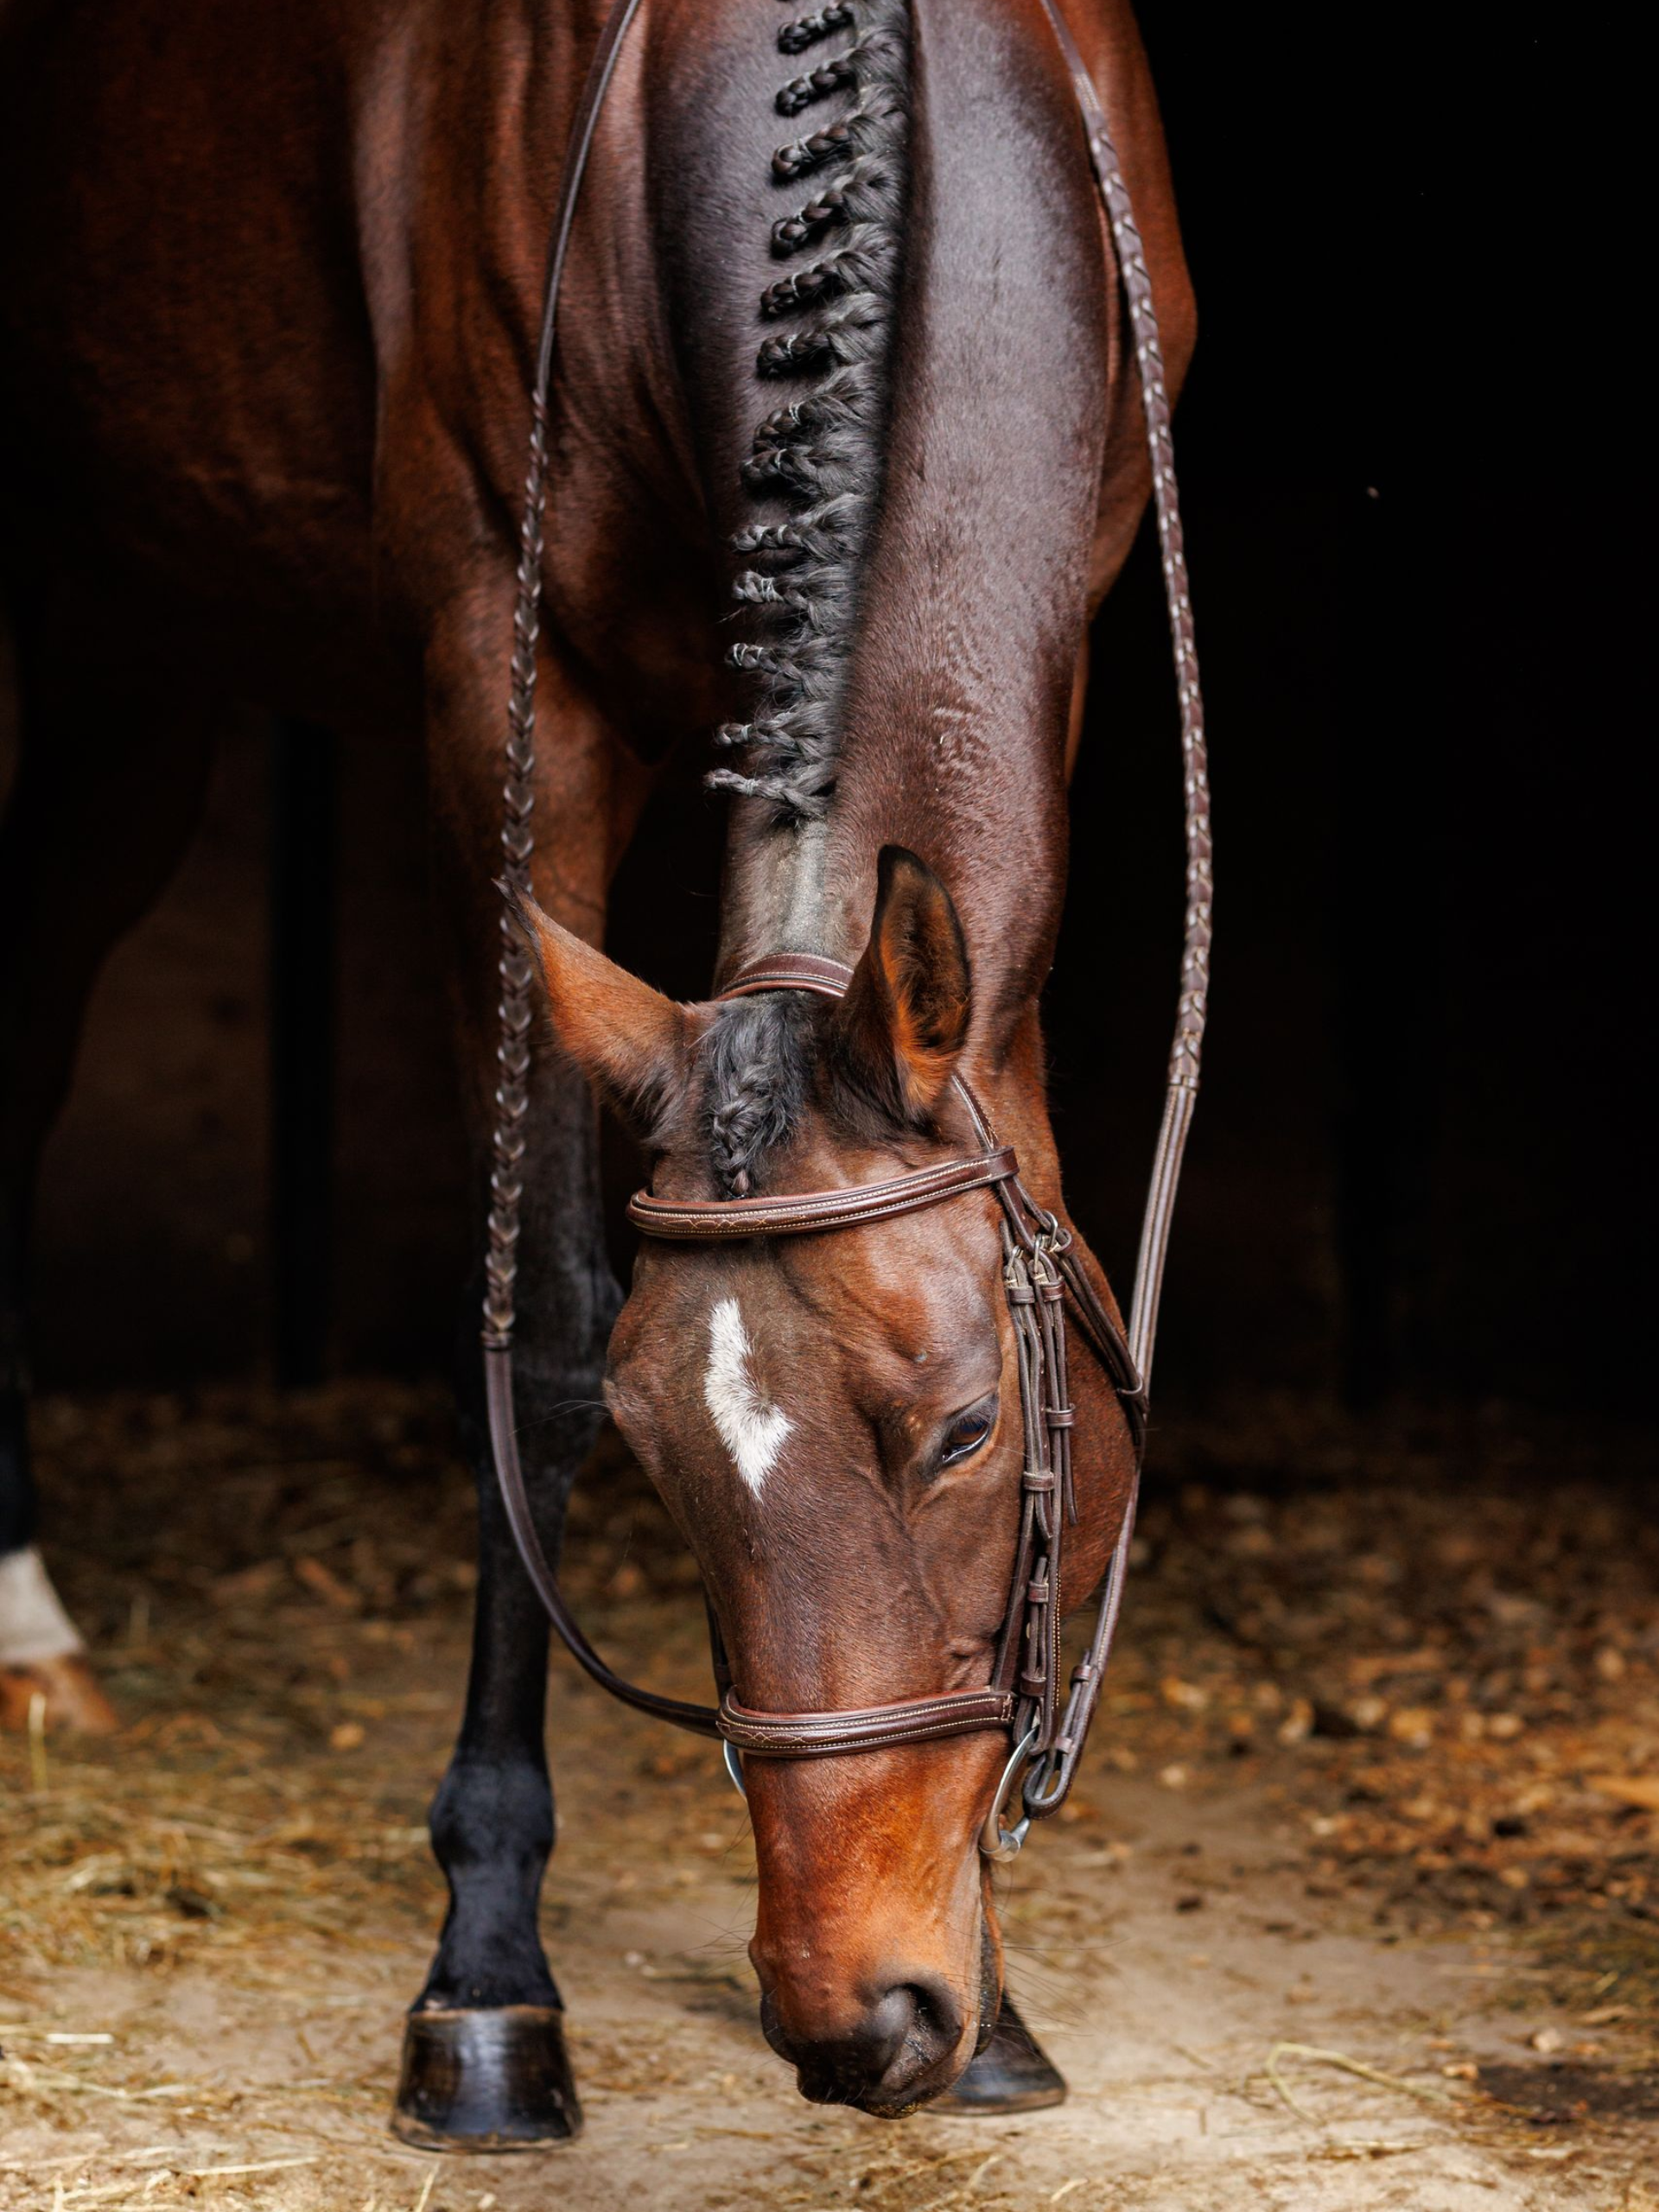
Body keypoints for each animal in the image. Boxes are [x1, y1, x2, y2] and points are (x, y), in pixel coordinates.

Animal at [0, 0, 1194, 2136]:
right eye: (652, 1449)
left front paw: (1008, 2006)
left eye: (969, 1431)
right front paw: (486, 1979)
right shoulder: (507, 682)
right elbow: (536, 1338)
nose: (864, 2020)